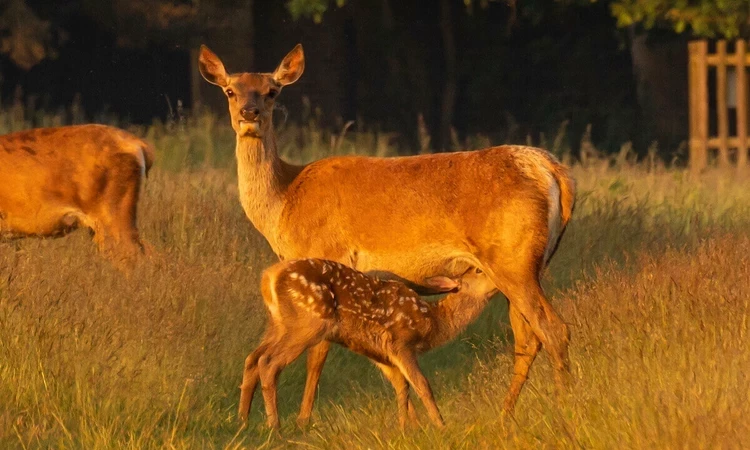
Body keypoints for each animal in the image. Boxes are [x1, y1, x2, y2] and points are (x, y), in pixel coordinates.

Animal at [241, 258, 500, 428]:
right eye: (479, 270)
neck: (432, 321)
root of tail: (269, 277)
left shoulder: (381, 354)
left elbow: (401, 386)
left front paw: (406, 427)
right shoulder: (400, 342)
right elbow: (421, 384)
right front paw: (440, 424)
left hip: (279, 325)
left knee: (253, 357)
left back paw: (243, 420)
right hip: (309, 323)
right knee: (269, 362)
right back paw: (274, 426)